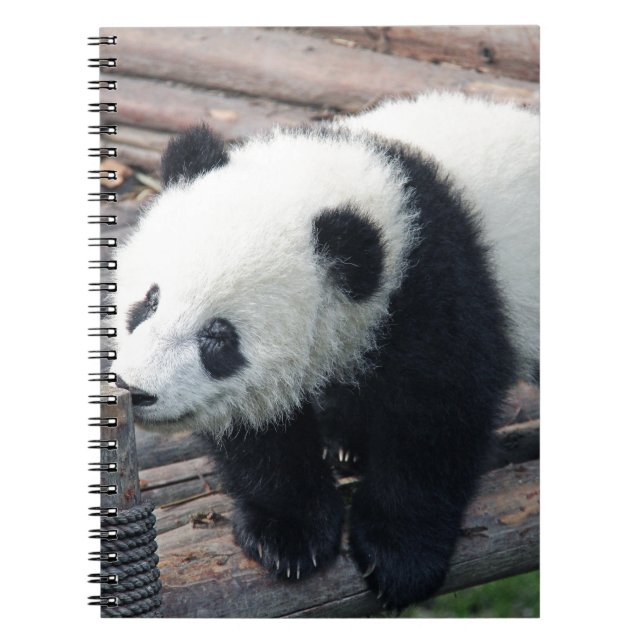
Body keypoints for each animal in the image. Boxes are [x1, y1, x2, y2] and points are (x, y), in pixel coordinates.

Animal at [114, 91, 539, 610]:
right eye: (150, 301)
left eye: (218, 337)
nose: (136, 389)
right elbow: (260, 434)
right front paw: (288, 534)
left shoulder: (437, 284)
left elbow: (439, 414)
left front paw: (399, 555)